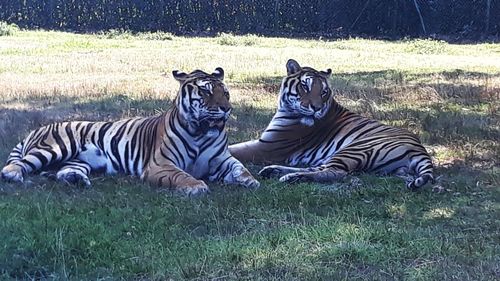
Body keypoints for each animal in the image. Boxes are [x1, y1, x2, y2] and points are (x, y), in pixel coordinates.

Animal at [2, 67, 262, 195]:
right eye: (206, 91)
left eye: (226, 93)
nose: (227, 109)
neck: (200, 132)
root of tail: (38, 129)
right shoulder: (161, 165)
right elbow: (182, 175)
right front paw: (196, 186)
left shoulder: (222, 160)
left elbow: (240, 168)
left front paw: (250, 181)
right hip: (57, 147)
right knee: (17, 165)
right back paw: (15, 175)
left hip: (78, 160)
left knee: (64, 171)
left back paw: (77, 181)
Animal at [230, 59, 434, 190]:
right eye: (305, 86)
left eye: (323, 92)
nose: (316, 108)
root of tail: (420, 148)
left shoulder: (267, 147)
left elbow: (234, 149)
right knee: (319, 168)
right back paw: (273, 171)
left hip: (355, 147)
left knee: (335, 172)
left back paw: (289, 177)